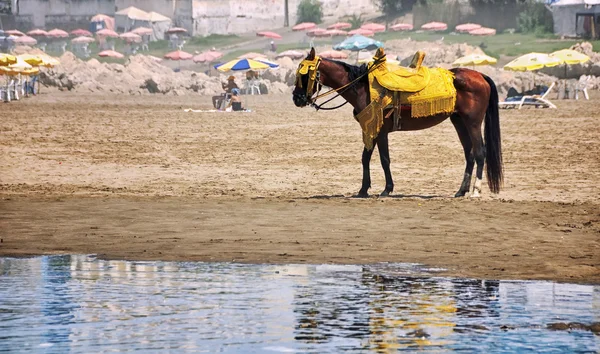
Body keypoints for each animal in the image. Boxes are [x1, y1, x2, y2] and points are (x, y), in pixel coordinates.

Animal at [290, 47, 502, 198]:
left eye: (304, 75)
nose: (296, 99)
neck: (364, 88)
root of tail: (480, 75)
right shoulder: (371, 128)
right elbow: (365, 158)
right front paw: (363, 189)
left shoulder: (381, 131)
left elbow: (384, 159)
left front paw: (387, 189)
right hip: (459, 122)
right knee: (470, 154)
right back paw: (461, 190)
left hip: (473, 123)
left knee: (480, 152)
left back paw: (475, 191)